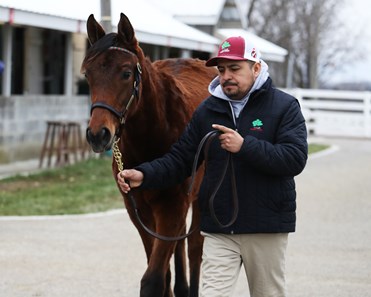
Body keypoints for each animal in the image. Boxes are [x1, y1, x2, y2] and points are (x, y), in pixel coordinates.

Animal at [82, 12, 218, 294]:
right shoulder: (138, 210)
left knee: (194, 248)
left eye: (125, 73)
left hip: (201, 198)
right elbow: (162, 273)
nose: (98, 135)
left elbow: (153, 278)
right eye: (88, 75)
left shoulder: (173, 206)